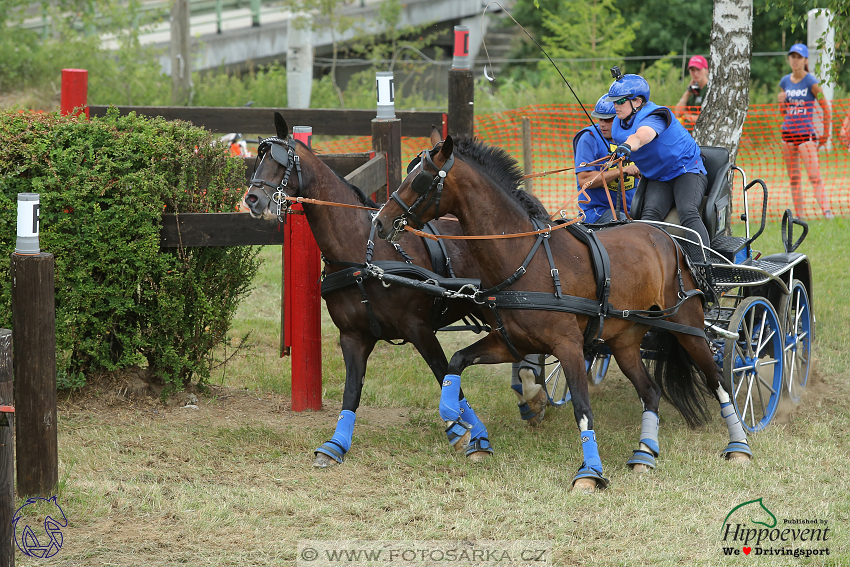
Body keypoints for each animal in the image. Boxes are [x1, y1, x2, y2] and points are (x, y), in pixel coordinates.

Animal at [240, 113, 548, 468]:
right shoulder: (353, 336)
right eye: (258, 160)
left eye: (280, 161)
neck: (363, 255)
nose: (252, 199)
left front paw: (468, 433)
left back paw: (532, 389)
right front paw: (336, 445)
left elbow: (445, 374)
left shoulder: (419, 328)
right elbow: (351, 391)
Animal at [374, 132, 752, 492]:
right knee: (650, 392)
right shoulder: (511, 343)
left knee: (718, 382)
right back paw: (645, 453)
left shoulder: (568, 346)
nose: (380, 221)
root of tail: (668, 238)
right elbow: (456, 363)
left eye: (420, 179)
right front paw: (461, 422)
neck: (526, 258)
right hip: (625, 340)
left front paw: (590, 473)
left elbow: (583, 409)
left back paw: (739, 446)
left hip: (688, 328)